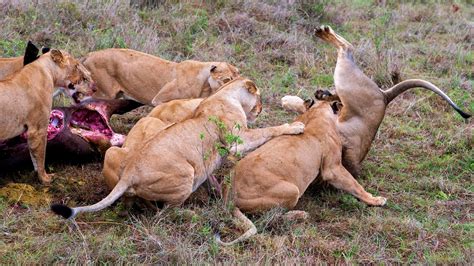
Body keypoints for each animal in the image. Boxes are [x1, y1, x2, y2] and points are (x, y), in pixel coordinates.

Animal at [0, 49, 95, 183]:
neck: (48, 72)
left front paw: (37, 175)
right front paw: (45, 178)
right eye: (76, 65)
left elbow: (33, 156)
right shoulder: (38, 130)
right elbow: (40, 156)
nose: (94, 87)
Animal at [51, 77, 304, 218]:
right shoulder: (237, 142)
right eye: (259, 98)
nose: (261, 109)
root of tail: (130, 173)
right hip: (187, 174)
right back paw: (192, 214)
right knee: (165, 213)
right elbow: (268, 130)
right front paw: (294, 126)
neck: (226, 95)